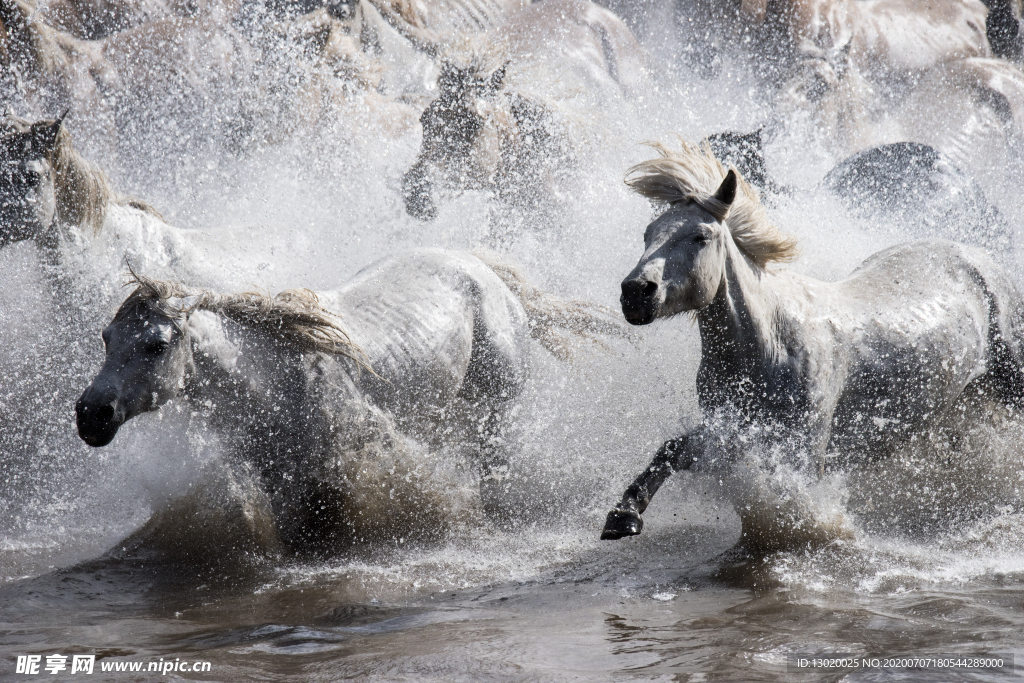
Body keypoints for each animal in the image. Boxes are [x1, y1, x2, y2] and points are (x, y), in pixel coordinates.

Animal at [75, 249, 618, 557]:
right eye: (105, 337)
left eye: (156, 345)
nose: (91, 416)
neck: (276, 381)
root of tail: (484, 269)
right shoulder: (277, 477)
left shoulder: (345, 467)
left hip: (494, 410)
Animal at [598, 140, 1024, 557]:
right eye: (648, 234)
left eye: (701, 236)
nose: (635, 293)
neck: (769, 345)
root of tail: (978, 256)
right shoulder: (733, 434)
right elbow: (672, 450)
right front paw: (623, 516)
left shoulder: (801, 448)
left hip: (1011, 379)